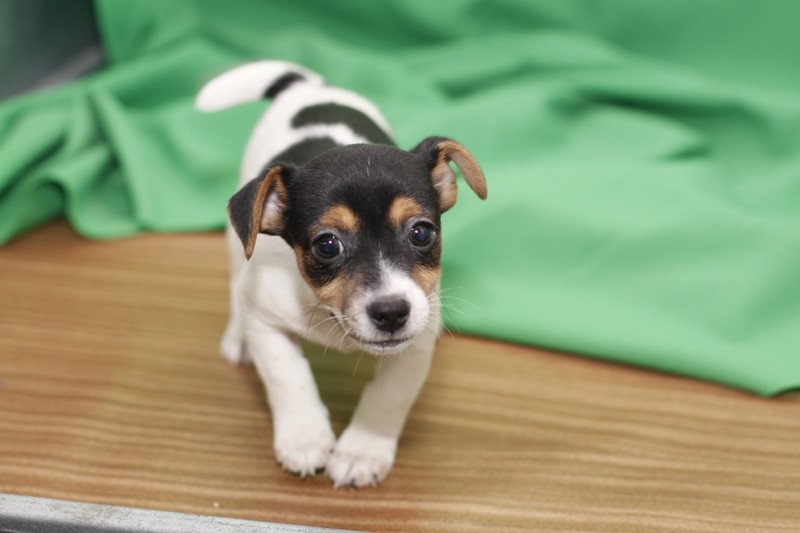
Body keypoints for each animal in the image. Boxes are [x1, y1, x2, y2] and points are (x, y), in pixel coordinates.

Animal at [197, 59, 488, 486]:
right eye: (327, 245)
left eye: (421, 232)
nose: (391, 312)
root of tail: (309, 86)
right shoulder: (267, 322)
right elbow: (288, 376)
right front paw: (304, 438)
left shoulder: (417, 341)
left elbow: (389, 395)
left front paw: (362, 450)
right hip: (237, 248)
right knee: (237, 286)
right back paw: (237, 338)